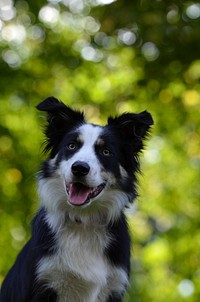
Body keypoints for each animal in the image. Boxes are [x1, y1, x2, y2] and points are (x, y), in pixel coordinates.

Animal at [0, 97, 153, 302]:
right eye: (71, 146)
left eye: (105, 152)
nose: (79, 168)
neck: (84, 222)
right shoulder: (44, 281)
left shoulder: (114, 287)